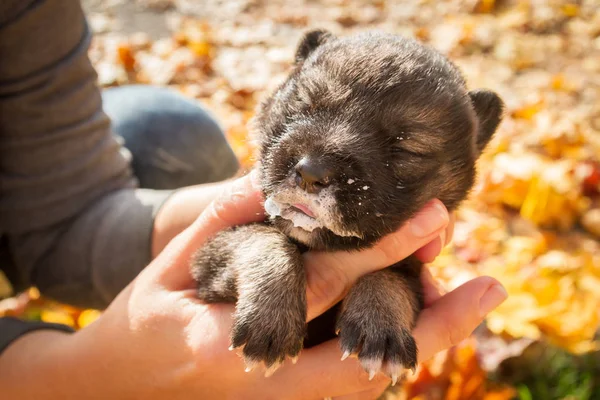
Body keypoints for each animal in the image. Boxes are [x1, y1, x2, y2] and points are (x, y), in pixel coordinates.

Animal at [191, 28, 502, 384]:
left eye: (406, 149)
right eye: (304, 104)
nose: (311, 172)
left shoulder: (412, 267)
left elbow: (388, 274)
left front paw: (380, 326)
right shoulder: (207, 256)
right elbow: (264, 239)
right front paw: (269, 320)